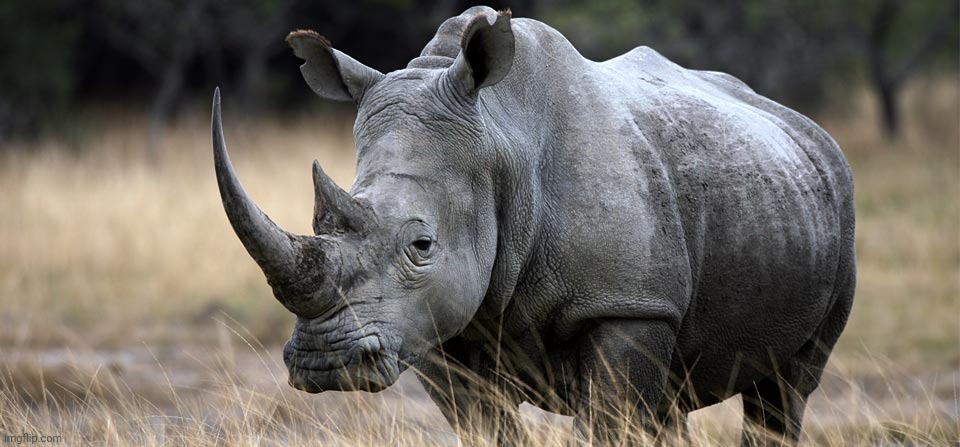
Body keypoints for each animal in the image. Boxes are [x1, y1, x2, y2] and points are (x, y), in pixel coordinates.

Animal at [212, 6, 855, 445]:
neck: (502, 140)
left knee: (784, 392)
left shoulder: (626, 303)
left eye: (422, 244)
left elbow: (613, 421)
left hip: (836, 205)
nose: (324, 364)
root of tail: (800, 123)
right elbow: (487, 428)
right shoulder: (430, 324)